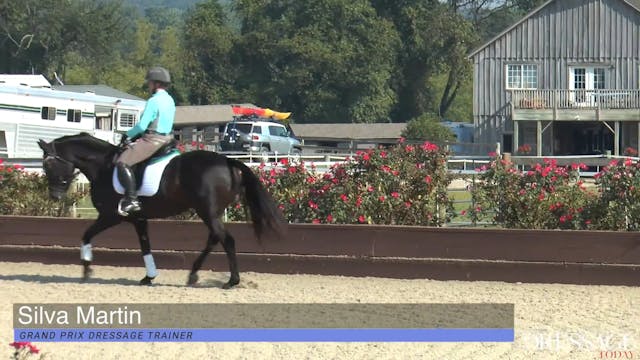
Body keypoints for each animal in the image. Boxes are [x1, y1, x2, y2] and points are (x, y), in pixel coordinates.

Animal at [35, 134, 284, 288]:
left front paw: (86, 269)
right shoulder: (138, 219)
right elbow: (145, 246)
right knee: (215, 238)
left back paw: (231, 281)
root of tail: (227, 161)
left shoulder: (111, 216)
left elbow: (86, 235)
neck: (103, 167)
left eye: (49, 165)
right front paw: (149, 276)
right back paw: (193, 273)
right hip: (209, 212)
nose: (55, 196)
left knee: (227, 240)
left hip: (207, 211)